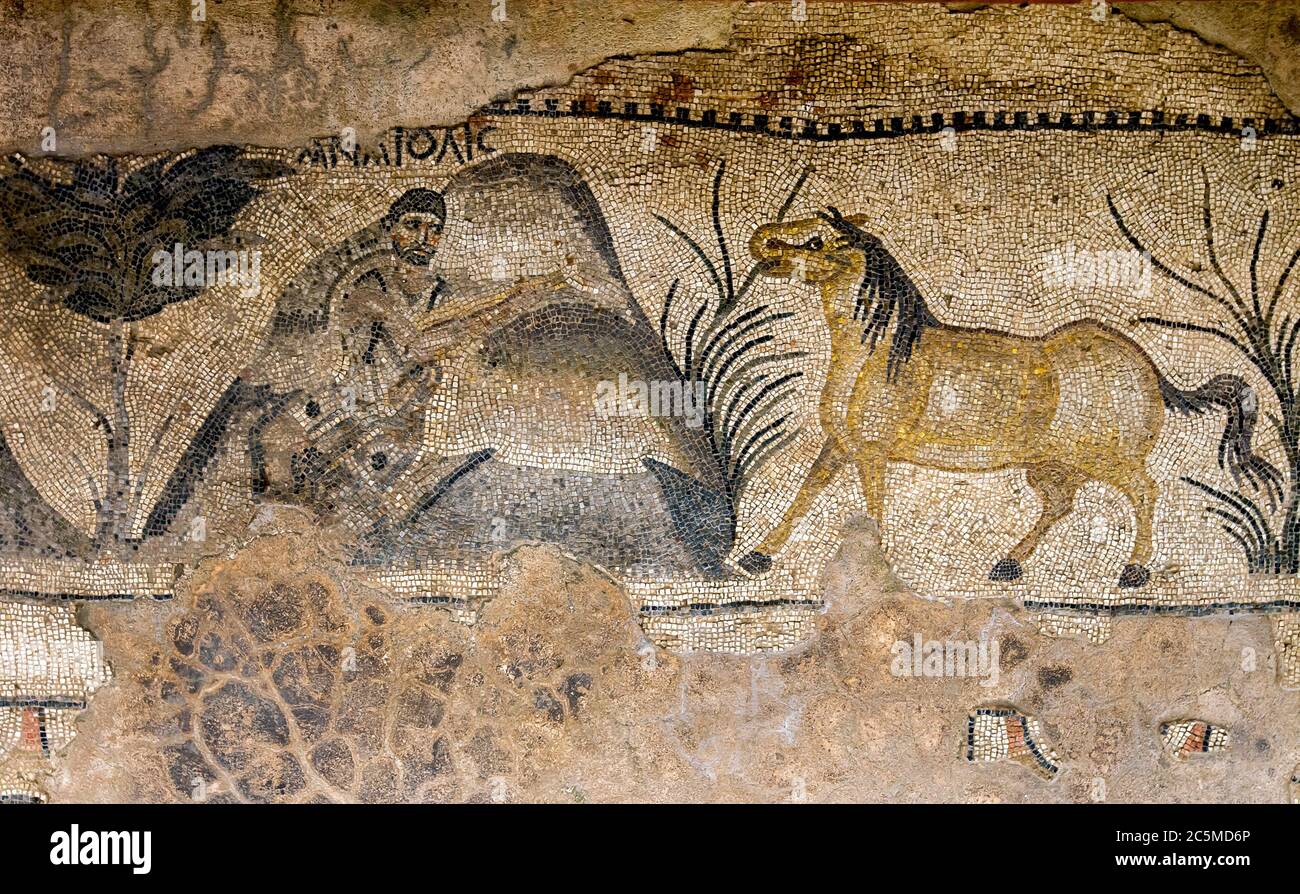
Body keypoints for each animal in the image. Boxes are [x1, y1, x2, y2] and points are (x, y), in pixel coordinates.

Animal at [738, 206, 1284, 589]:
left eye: (816, 240)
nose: (762, 241)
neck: (877, 353)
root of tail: (1148, 366)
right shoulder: (839, 444)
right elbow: (804, 493)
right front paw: (756, 555)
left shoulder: (873, 452)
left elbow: (871, 508)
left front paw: (876, 565)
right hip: (1050, 463)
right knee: (1061, 504)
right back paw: (1007, 564)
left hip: (1109, 457)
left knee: (1145, 491)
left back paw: (1132, 572)